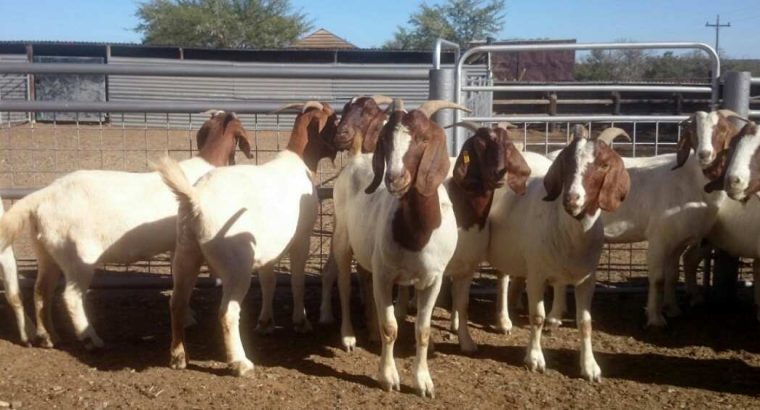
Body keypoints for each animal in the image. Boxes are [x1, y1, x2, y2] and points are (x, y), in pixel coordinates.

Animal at [0, 111, 252, 349]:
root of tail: (44, 195)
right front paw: (189, 317)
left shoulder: (175, 245)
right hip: (78, 255)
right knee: (71, 297)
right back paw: (91, 339)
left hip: (47, 250)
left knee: (41, 291)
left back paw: (49, 337)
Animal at [156, 101, 338, 377]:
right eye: (334, 118)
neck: (298, 160)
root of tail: (196, 200)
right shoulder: (302, 238)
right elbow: (296, 281)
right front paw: (301, 321)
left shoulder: (268, 249)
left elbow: (269, 281)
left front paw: (265, 323)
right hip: (236, 265)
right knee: (227, 313)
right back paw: (240, 363)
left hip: (185, 252)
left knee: (176, 302)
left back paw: (178, 356)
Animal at [331, 99, 466, 397]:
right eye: (385, 140)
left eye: (423, 138)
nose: (394, 178)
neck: (417, 234)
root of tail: (356, 157)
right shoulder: (385, 275)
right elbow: (390, 327)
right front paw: (388, 377)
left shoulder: (434, 279)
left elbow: (423, 330)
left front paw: (424, 382)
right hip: (342, 239)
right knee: (344, 286)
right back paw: (348, 335)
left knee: (364, 278)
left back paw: (368, 330)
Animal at [487, 125, 630, 381]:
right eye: (566, 161)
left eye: (603, 165)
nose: (571, 199)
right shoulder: (536, 274)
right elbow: (537, 316)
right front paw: (534, 359)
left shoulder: (587, 279)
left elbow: (585, 322)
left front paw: (590, 367)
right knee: (500, 279)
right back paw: (501, 322)